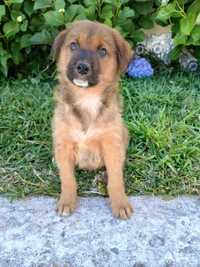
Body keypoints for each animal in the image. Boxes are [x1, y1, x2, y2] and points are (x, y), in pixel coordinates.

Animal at [52, 19, 133, 219]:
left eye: (102, 51)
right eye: (73, 45)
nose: (82, 67)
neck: (87, 98)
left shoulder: (112, 143)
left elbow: (116, 179)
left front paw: (120, 203)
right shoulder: (63, 144)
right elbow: (67, 178)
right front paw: (66, 201)